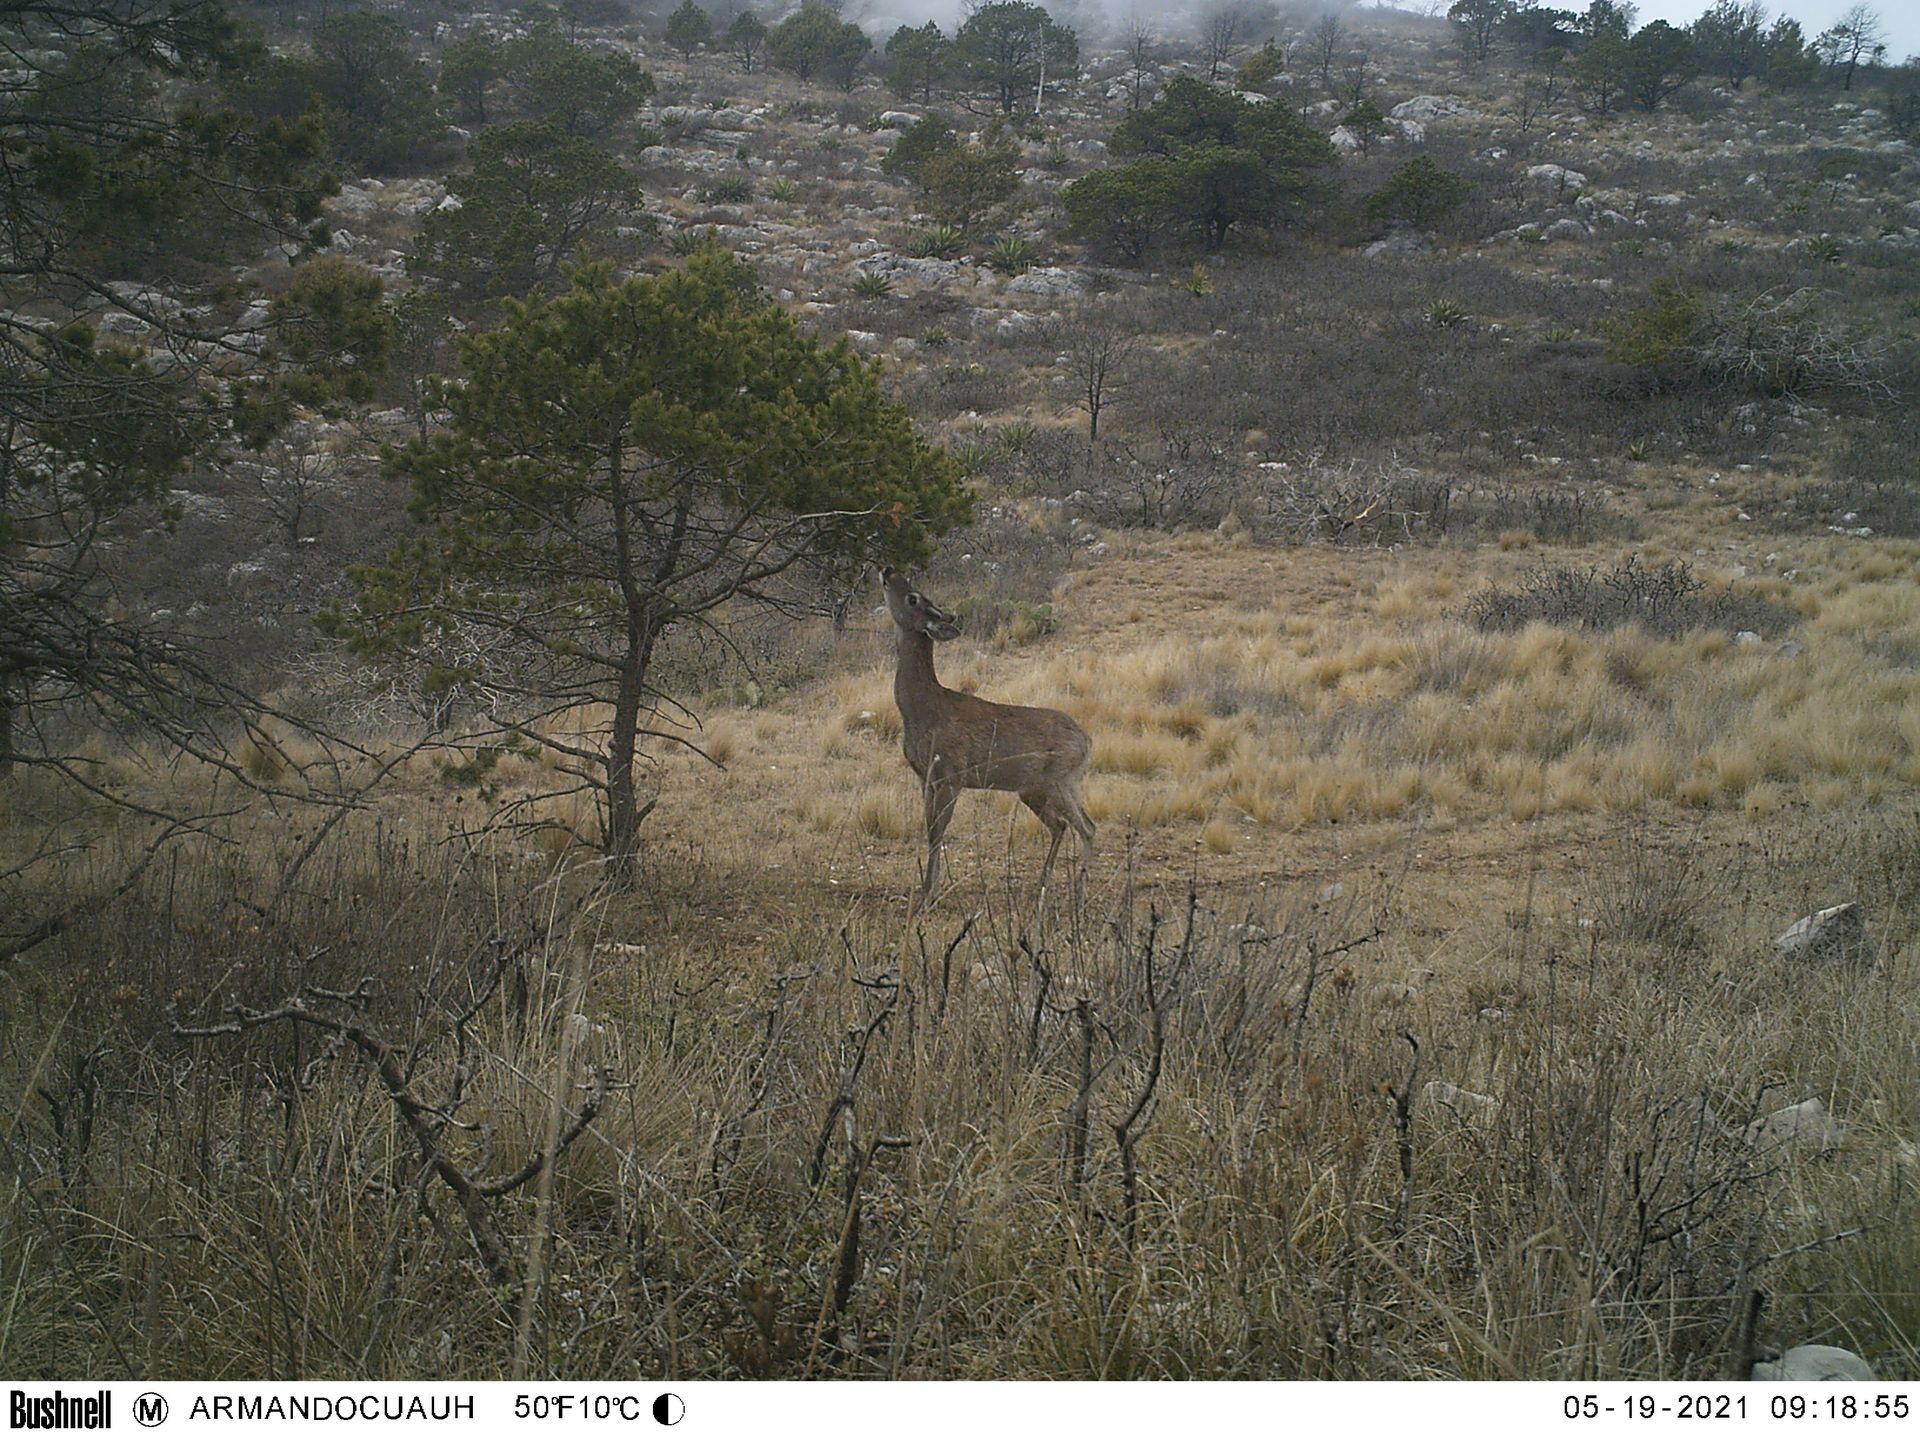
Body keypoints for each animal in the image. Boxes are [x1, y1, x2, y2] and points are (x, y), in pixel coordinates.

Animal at [881, 567, 1095, 904]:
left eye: (913, 597)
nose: (888, 570)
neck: (923, 711)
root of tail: (1087, 741)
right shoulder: (925, 777)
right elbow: (929, 829)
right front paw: (928, 889)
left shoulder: (952, 774)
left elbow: (938, 832)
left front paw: (929, 895)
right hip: (1037, 789)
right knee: (1064, 825)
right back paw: (1042, 884)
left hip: (1059, 779)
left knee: (1086, 827)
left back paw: (1079, 891)